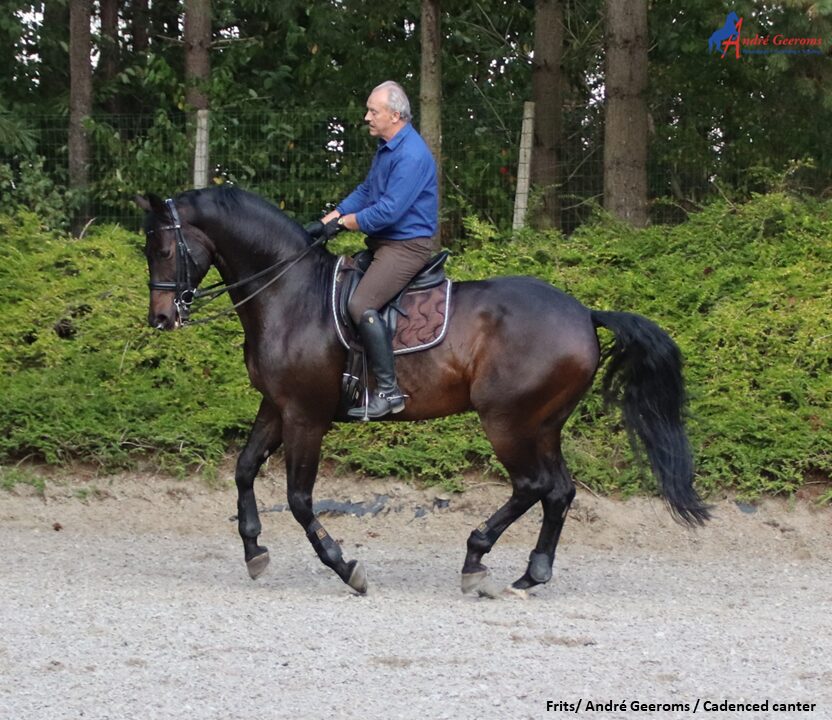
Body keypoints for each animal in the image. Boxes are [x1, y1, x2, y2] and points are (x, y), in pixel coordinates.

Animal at [136, 186, 708, 596]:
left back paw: (477, 558)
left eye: (163, 249)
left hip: (508, 421)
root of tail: (585, 313)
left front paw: (344, 566)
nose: (161, 319)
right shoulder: (276, 406)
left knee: (532, 486)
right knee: (558, 491)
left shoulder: (305, 415)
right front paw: (254, 552)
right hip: (543, 424)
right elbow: (244, 469)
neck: (289, 294)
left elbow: (298, 499)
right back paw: (532, 573)